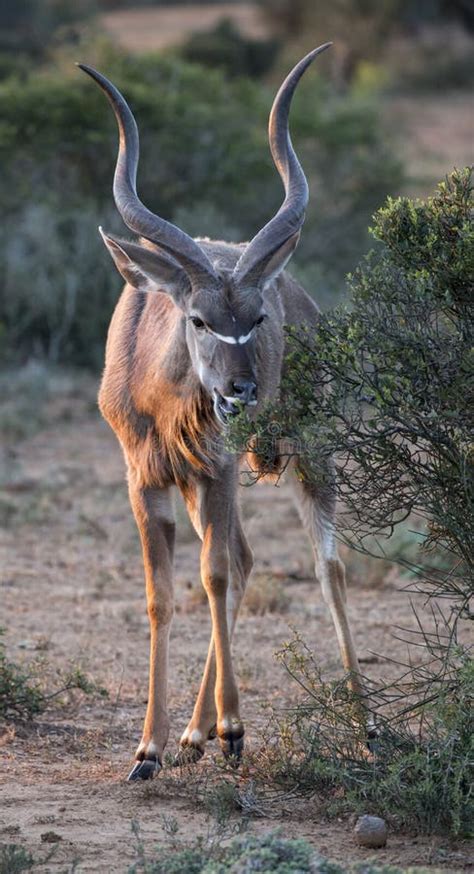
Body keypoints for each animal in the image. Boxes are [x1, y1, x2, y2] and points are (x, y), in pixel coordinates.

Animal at [79, 41, 364, 780]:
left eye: (255, 318)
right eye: (200, 319)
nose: (241, 391)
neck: (164, 404)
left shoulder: (219, 467)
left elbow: (210, 576)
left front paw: (233, 729)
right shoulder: (145, 477)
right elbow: (161, 594)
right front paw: (151, 748)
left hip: (308, 450)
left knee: (320, 565)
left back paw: (364, 727)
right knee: (244, 557)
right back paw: (192, 734)